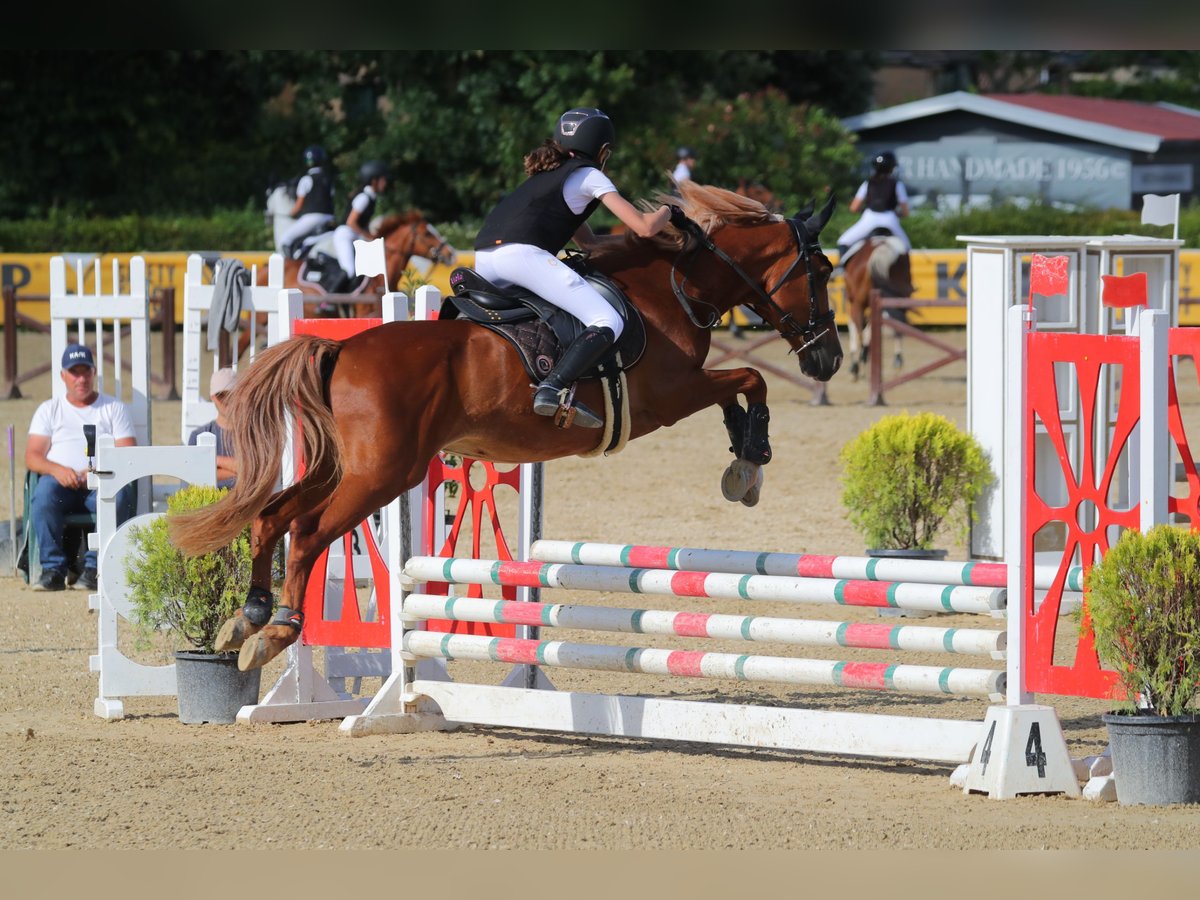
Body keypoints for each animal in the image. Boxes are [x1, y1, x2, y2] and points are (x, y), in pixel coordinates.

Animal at [169, 181, 844, 672]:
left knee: (271, 519)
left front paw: (742, 458)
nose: (829, 360)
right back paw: (277, 631)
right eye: (822, 272)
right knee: (307, 534)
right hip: (382, 474)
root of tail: (341, 348)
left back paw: (248, 617)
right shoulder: (673, 396)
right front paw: (750, 463)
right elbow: (749, 380)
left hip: (346, 466)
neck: (672, 288)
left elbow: (741, 388)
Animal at [840, 230, 912, 381]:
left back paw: (862, 365)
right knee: (898, 324)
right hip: (898, 298)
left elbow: (856, 329)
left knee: (862, 332)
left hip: (859, 304)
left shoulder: (854, 304)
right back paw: (897, 363)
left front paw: (855, 366)